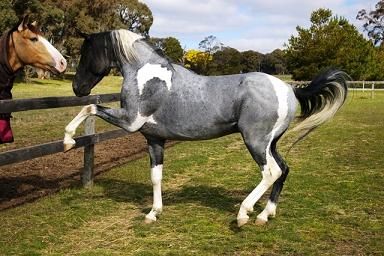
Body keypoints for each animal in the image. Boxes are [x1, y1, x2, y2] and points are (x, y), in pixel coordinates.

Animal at [64, 29, 350, 226]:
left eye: (86, 53)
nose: (77, 88)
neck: (146, 74)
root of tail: (289, 89)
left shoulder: (130, 121)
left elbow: (89, 108)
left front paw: (67, 141)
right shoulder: (153, 139)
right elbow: (156, 177)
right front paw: (153, 213)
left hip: (255, 141)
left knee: (271, 172)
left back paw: (245, 214)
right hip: (271, 143)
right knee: (284, 170)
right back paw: (265, 215)